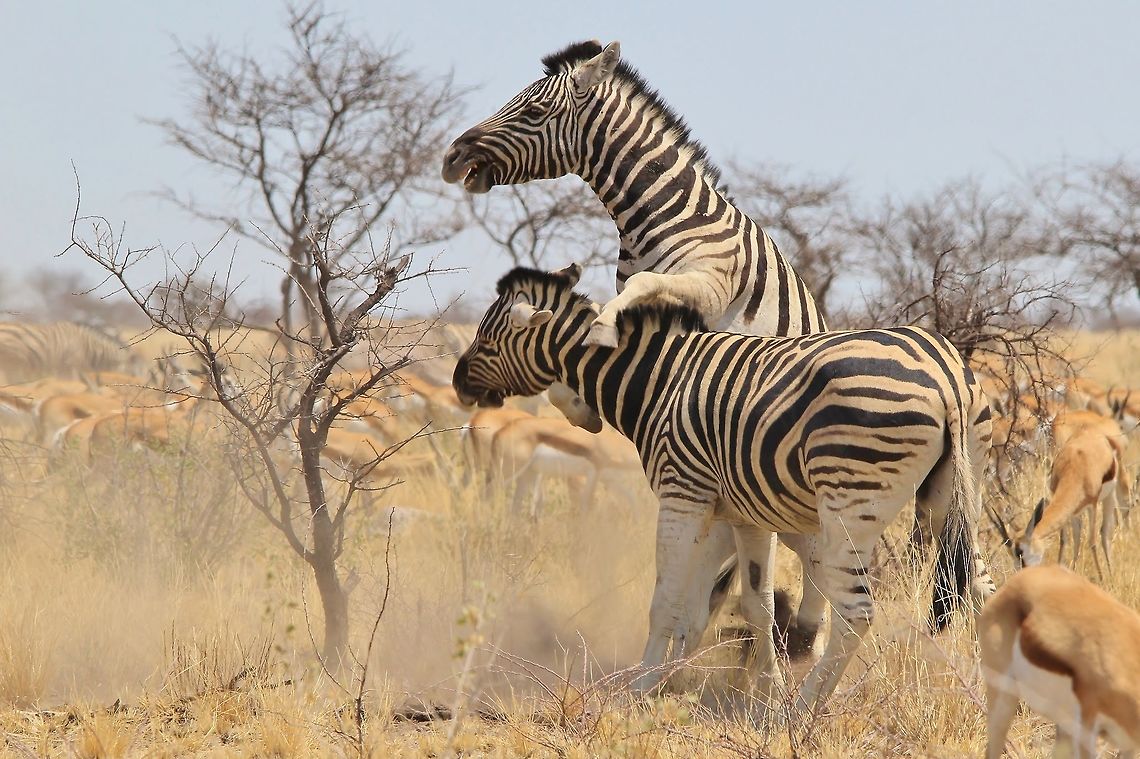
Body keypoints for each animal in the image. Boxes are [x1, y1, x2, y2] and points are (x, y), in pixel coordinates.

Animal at [452, 264, 995, 715]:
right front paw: (756, 689)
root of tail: (945, 374)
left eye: (486, 339)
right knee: (981, 591)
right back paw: (988, 695)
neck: (658, 383)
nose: (458, 385)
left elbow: (667, 601)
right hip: (955, 495)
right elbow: (752, 605)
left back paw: (802, 712)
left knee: (857, 614)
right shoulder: (740, 514)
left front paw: (638, 691)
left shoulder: (682, 495)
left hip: (849, 504)